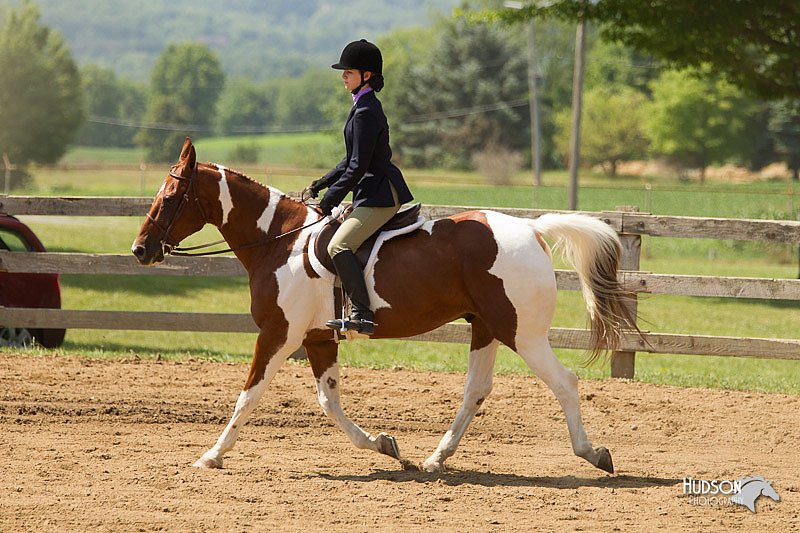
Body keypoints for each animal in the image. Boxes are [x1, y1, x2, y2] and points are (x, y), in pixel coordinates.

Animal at [134, 138, 640, 474]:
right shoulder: (318, 338)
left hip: (523, 333)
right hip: (486, 327)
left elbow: (249, 394)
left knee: (565, 382)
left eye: (170, 197)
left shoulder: (279, 333)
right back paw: (436, 459)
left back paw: (593, 454)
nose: (140, 250)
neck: (277, 241)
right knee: (476, 390)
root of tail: (532, 230)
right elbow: (329, 401)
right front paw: (385, 445)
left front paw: (211, 455)